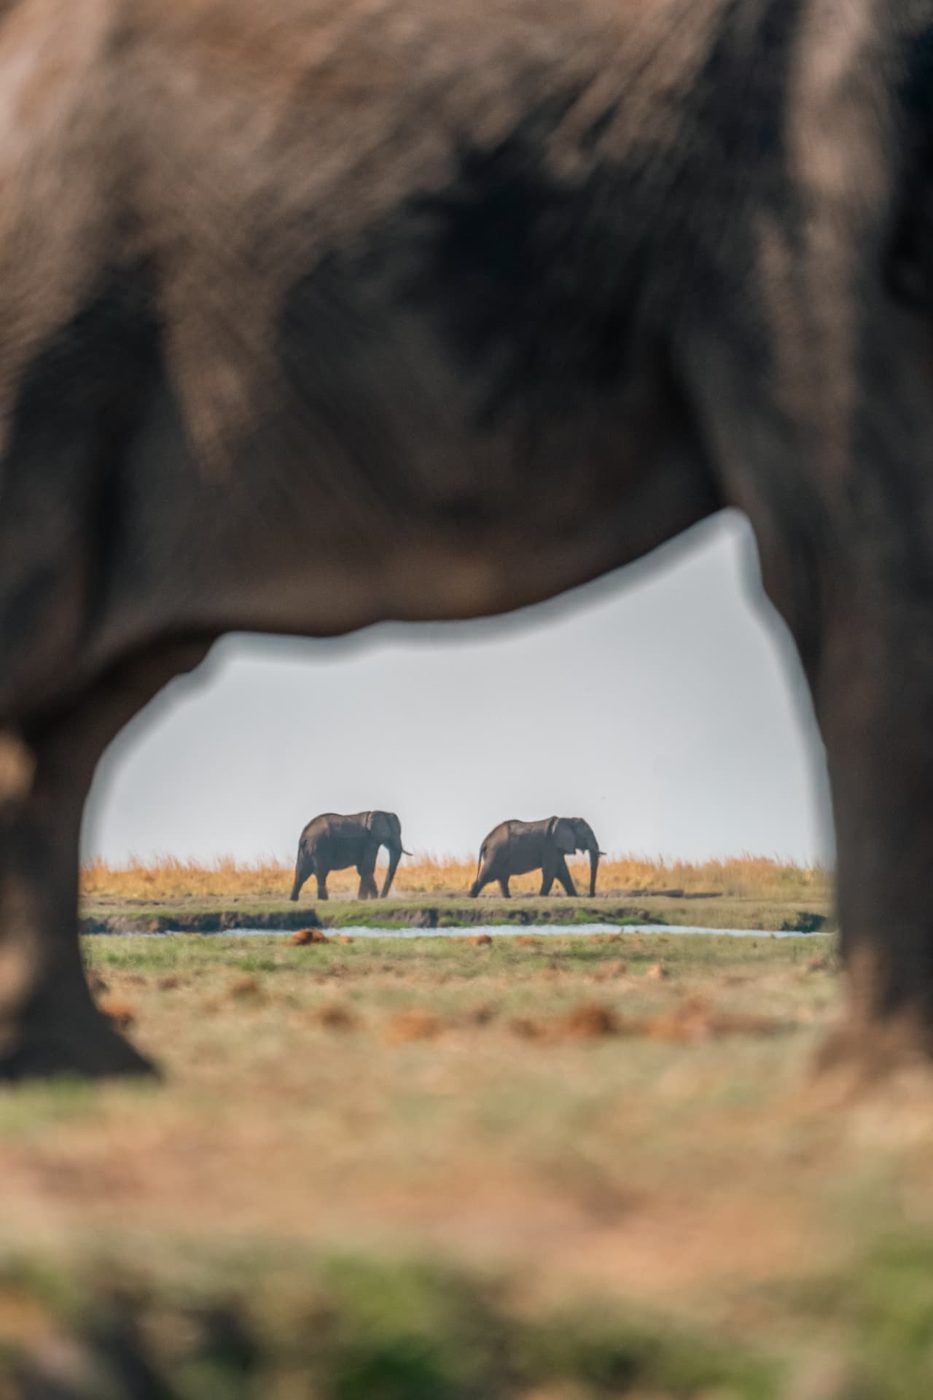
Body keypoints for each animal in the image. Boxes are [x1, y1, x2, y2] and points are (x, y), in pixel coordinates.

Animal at [470, 817, 603, 898]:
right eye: (585, 836)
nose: (590, 895)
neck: (567, 820)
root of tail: (485, 841)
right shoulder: (550, 846)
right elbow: (550, 872)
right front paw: (541, 896)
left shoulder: (555, 849)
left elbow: (563, 872)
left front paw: (574, 896)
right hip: (496, 853)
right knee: (487, 875)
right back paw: (471, 897)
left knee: (502, 878)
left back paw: (508, 898)